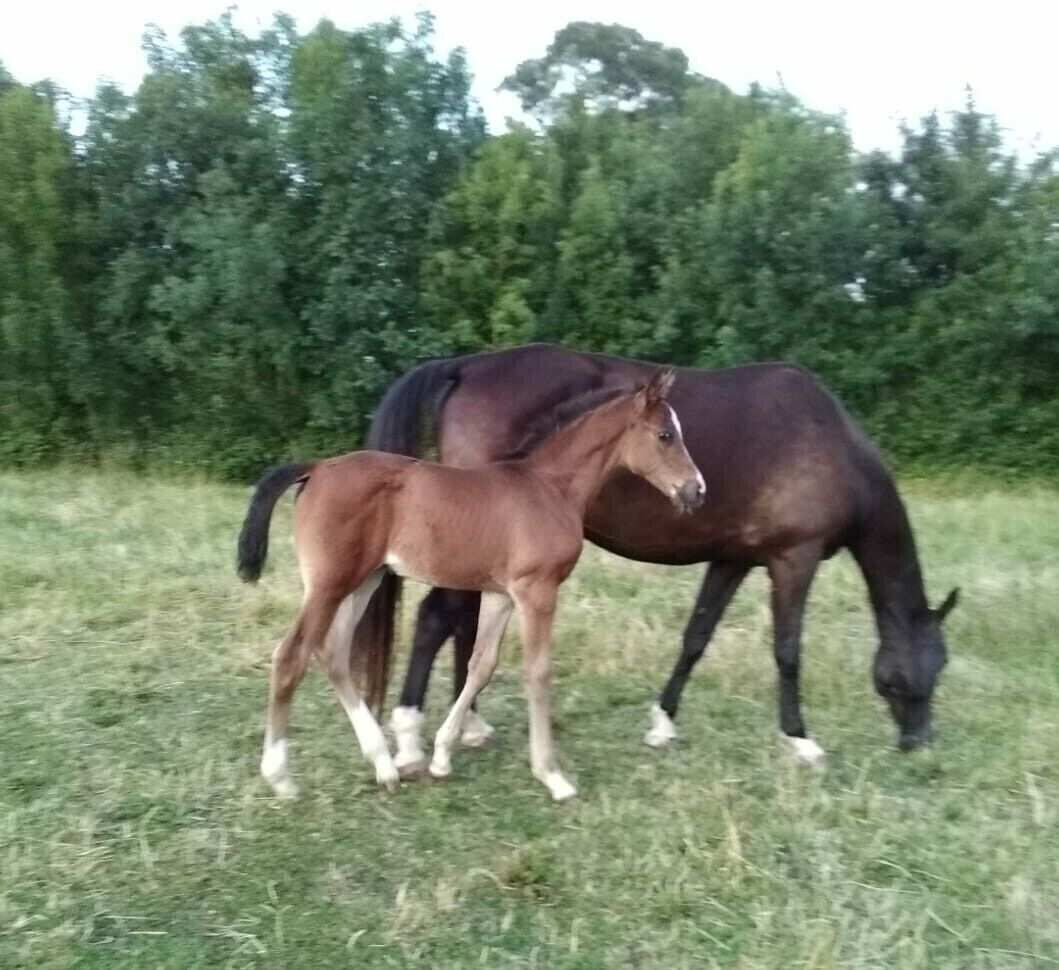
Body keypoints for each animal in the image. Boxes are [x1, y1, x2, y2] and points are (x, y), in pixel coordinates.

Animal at [236, 369, 704, 801]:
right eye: (665, 435)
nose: (696, 491)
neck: (550, 487)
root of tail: (316, 468)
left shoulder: (500, 594)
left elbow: (481, 665)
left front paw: (443, 756)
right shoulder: (537, 592)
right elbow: (537, 672)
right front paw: (552, 775)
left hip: (364, 579)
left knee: (333, 652)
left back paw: (384, 764)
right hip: (329, 583)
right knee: (291, 655)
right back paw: (280, 776)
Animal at [355, 343, 958, 773]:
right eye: (929, 666)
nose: (921, 741)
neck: (827, 440)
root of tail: (466, 366)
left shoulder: (733, 559)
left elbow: (696, 636)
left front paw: (663, 722)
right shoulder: (794, 559)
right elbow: (787, 651)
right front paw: (800, 740)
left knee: (460, 624)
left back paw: (468, 725)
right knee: (437, 618)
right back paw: (411, 737)